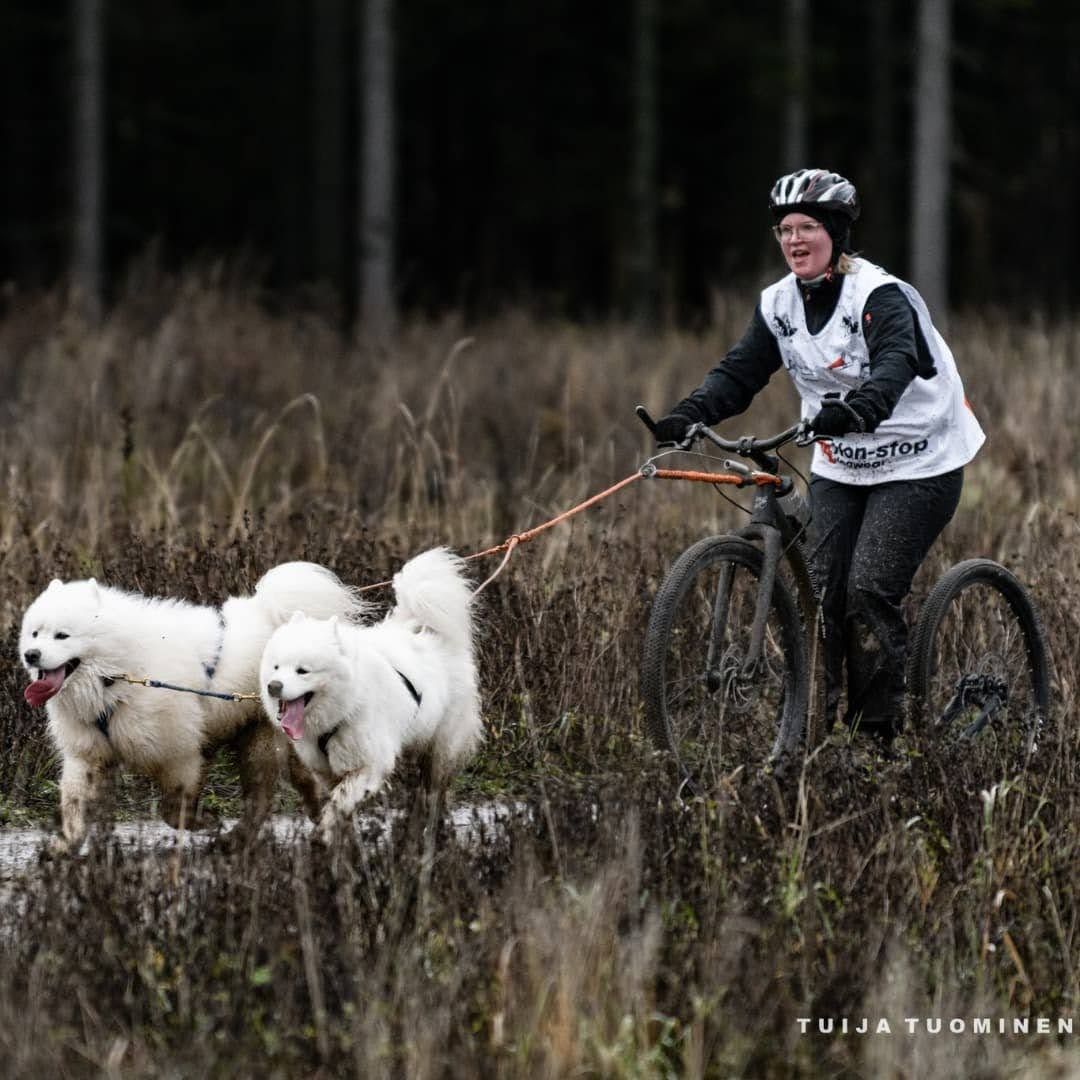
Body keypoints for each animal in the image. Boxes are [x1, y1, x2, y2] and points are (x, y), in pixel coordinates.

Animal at [19, 565, 367, 851]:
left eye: (62, 635)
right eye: (35, 633)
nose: (31, 655)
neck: (119, 673)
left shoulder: (177, 751)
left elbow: (173, 807)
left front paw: (205, 820)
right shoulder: (88, 752)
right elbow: (75, 804)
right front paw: (63, 847)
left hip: (264, 739)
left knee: (263, 793)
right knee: (298, 786)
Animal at [257, 548, 481, 842]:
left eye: (302, 671)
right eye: (276, 667)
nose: (273, 686)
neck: (345, 705)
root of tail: (437, 639)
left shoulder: (370, 764)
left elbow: (339, 802)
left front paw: (322, 836)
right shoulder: (325, 770)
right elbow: (340, 809)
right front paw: (344, 841)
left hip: (440, 750)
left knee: (433, 795)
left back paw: (428, 837)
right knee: (420, 797)